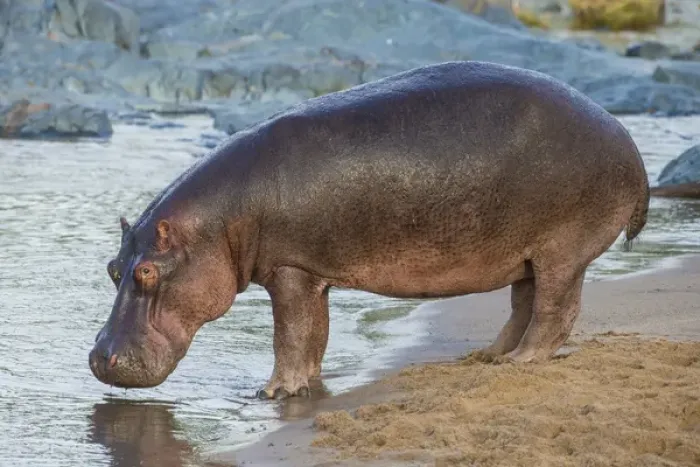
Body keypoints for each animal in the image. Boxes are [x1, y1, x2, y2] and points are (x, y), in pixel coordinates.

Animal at [89, 61, 650, 399]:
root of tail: (627, 139)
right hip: (525, 254)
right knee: (523, 305)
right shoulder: (311, 273)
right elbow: (314, 335)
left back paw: (521, 362)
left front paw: (271, 393)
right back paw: (491, 356)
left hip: (562, 251)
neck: (222, 221)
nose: (97, 359)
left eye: (145, 273)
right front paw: (308, 386)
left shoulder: (291, 270)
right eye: (113, 268)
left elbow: (289, 334)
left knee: (556, 310)